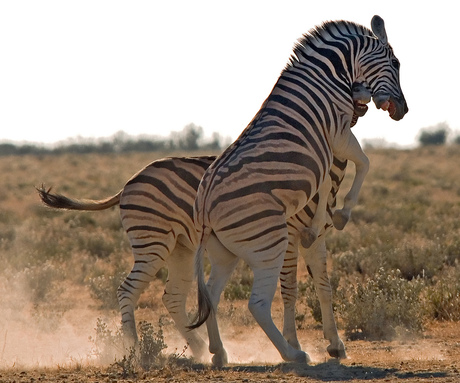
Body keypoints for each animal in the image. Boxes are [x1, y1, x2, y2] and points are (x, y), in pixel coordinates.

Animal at [190, 15, 410, 366]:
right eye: (397, 64)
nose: (403, 110)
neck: (330, 74)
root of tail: (204, 206)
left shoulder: (332, 141)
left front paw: (323, 220)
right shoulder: (338, 132)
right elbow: (364, 162)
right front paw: (343, 212)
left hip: (225, 252)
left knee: (211, 294)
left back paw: (220, 353)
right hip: (270, 243)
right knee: (257, 304)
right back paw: (292, 353)